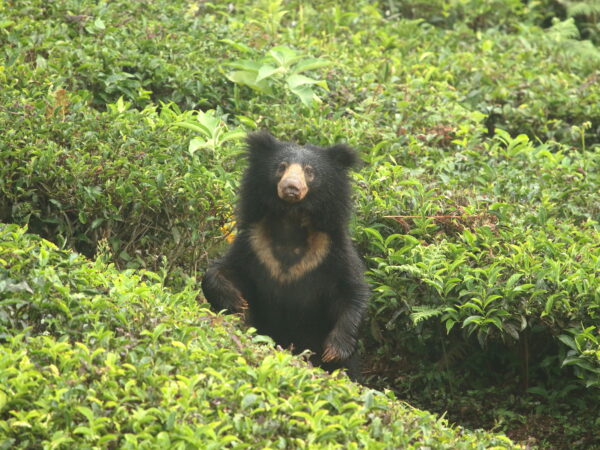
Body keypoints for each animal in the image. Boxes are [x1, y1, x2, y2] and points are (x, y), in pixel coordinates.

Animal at [204, 130, 368, 376]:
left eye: (309, 171)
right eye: (281, 167)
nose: (291, 187)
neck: (291, 220)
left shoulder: (331, 251)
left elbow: (351, 291)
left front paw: (334, 350)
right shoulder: (253, 246)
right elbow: (222, 271)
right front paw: (237, 302)